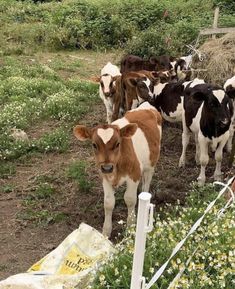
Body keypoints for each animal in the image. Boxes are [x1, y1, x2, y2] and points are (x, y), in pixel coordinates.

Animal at [73, 102, 162, 237]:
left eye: (117, 144)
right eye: (94, 145)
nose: (107, 167)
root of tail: (147, 105)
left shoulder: (134, 174)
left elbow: (130, 199)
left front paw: (130, 226)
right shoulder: (104, 177)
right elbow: (108, 203)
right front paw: (106, 232)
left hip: (151, 163)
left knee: (146, 182)